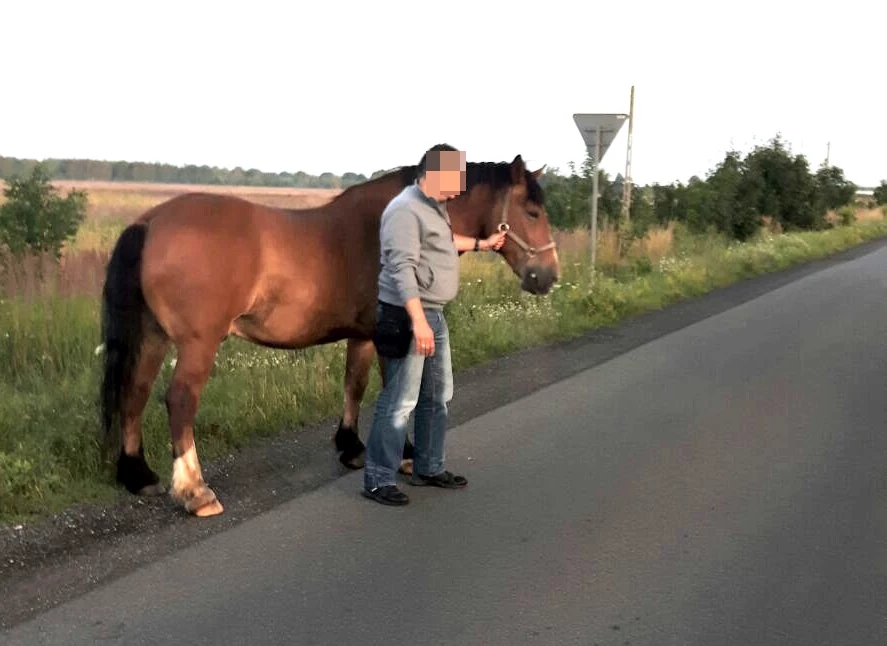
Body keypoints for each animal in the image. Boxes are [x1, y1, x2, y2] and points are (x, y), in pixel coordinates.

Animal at [102, 154, 560, 520]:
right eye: (532, 212)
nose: (548, 277)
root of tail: (150, 221)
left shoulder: (363, 335)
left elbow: (354, 384)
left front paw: (351, 446)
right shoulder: (391, 335)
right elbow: (396, 391)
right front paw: (405, 455)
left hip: (153, 335)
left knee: (134, 393)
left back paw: (139, 474)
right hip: (198, 343)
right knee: (179, 400)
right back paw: (195, 491)